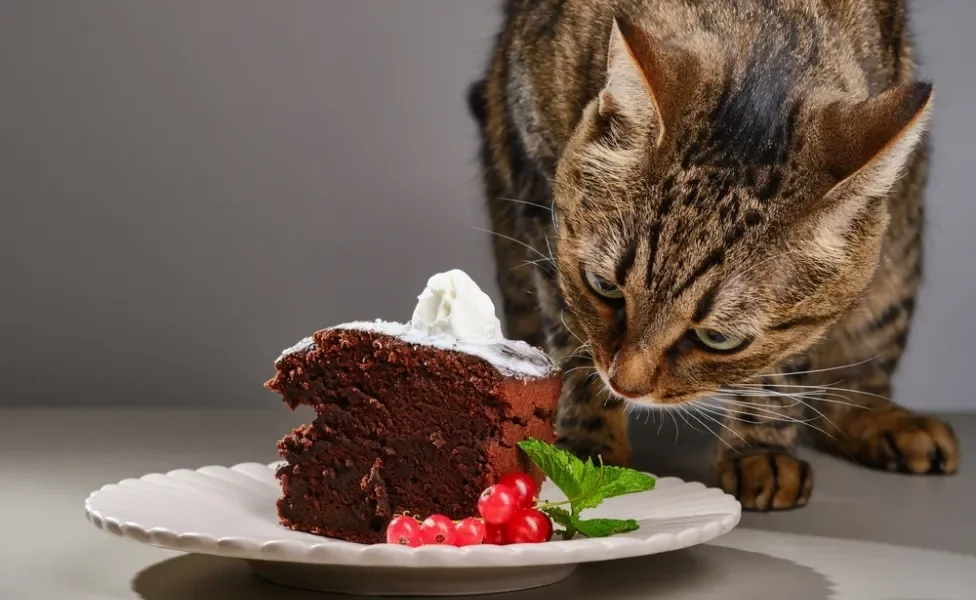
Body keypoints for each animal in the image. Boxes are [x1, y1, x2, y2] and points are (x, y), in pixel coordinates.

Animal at [470, 0, 960, 510]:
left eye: (719, 339)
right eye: (603, 287)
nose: (625, 384)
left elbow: (778, 368)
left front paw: (761, 447)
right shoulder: (537, 193)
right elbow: (572, 341)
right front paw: (586, 447)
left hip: (897, 260)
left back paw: (883, 418)